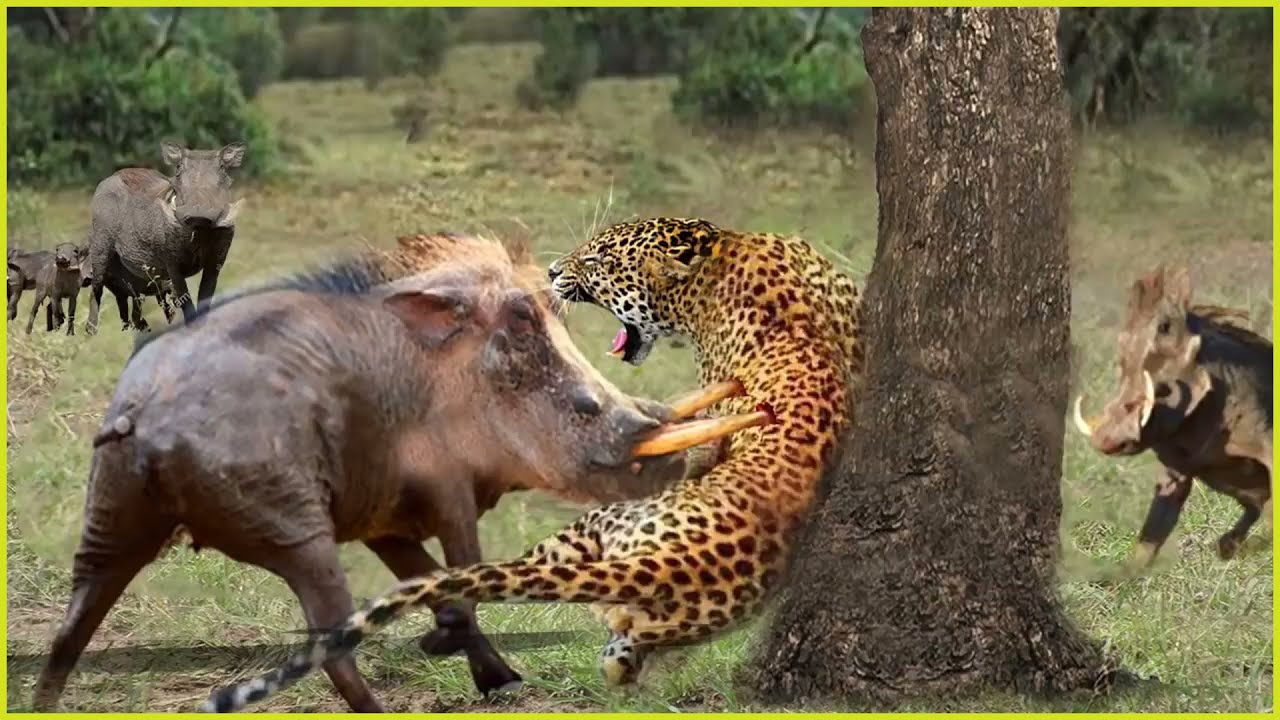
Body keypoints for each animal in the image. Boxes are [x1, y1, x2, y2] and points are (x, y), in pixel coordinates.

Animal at [33, 232, 744, 713]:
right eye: (521, 318)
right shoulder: (451, 495)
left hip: (107, 533)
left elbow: (435, 585)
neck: (442, 374)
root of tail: (142, 412)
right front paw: (463, 657)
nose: (674, 458)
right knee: (333, 646)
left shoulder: (385, 522)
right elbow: (464, 580)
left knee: (67, 638)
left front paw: (500, 680)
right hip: (300, 540)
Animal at [85, 141, 245, 334]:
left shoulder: (215, 264)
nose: (198, 214)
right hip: (100, 251)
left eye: (222, 168)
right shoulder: (172, 265)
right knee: (96, 289)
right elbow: (186, 300)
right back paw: (91, 332)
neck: (199, 232)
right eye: (178, 168)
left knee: (135, 301)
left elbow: (205, 297)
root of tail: (110, 178)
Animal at [1073, 264, 1272, 569]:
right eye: (1123, 341)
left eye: (1165, 327)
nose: (1105, 440)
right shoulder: (1173, 473)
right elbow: (1151, 534)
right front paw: (1128, 576)